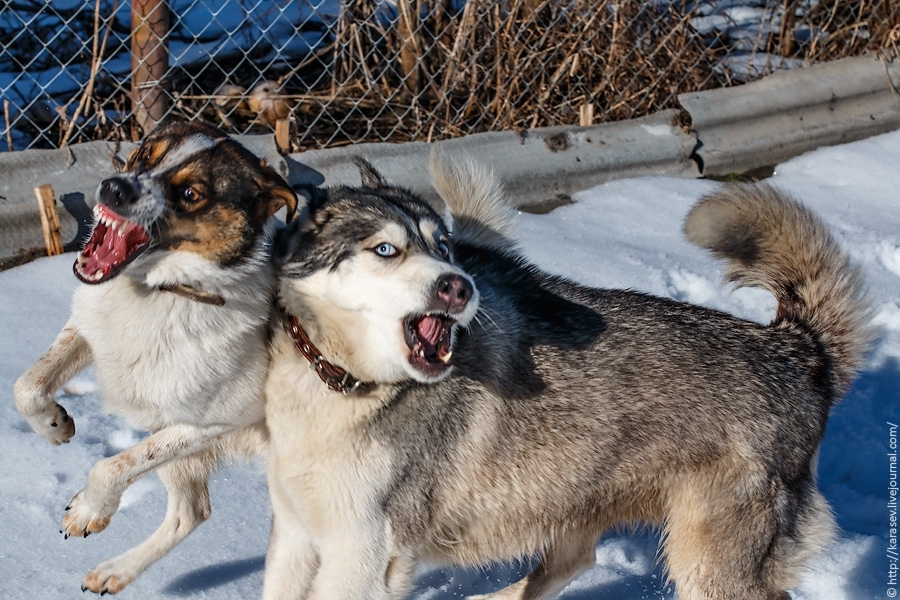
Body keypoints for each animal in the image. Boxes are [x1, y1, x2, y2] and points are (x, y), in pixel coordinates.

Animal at [13, 118, 296, 596]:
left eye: (191, 193)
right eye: (146, 154)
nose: (113, 189)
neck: (161, 291)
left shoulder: (218, 420)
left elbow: (113, 466)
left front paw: (88, 509)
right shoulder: (89, 330)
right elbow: (27, 386)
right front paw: (54, 426)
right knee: (192, 512)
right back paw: (116, 572)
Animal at [266, 157, 872, 596]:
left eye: (443, 246)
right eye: (386, 249)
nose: (459, 286)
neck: (340, 385)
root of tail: (797, 346)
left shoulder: (364, 557)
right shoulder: (295, 538)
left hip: (708, 569)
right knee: (564, 567)